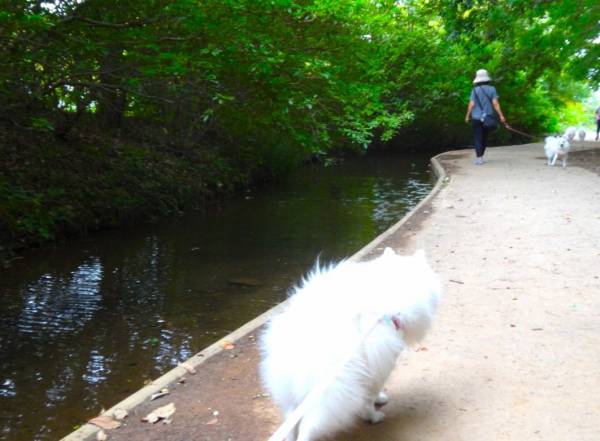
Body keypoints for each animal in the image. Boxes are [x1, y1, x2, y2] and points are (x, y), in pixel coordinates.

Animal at [258, 248, 440, 440]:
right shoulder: (379, 365)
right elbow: (370, 396)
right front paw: (373, 415)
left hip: (293, 394)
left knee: (291, 423)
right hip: (329, 392)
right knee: (308, 428)